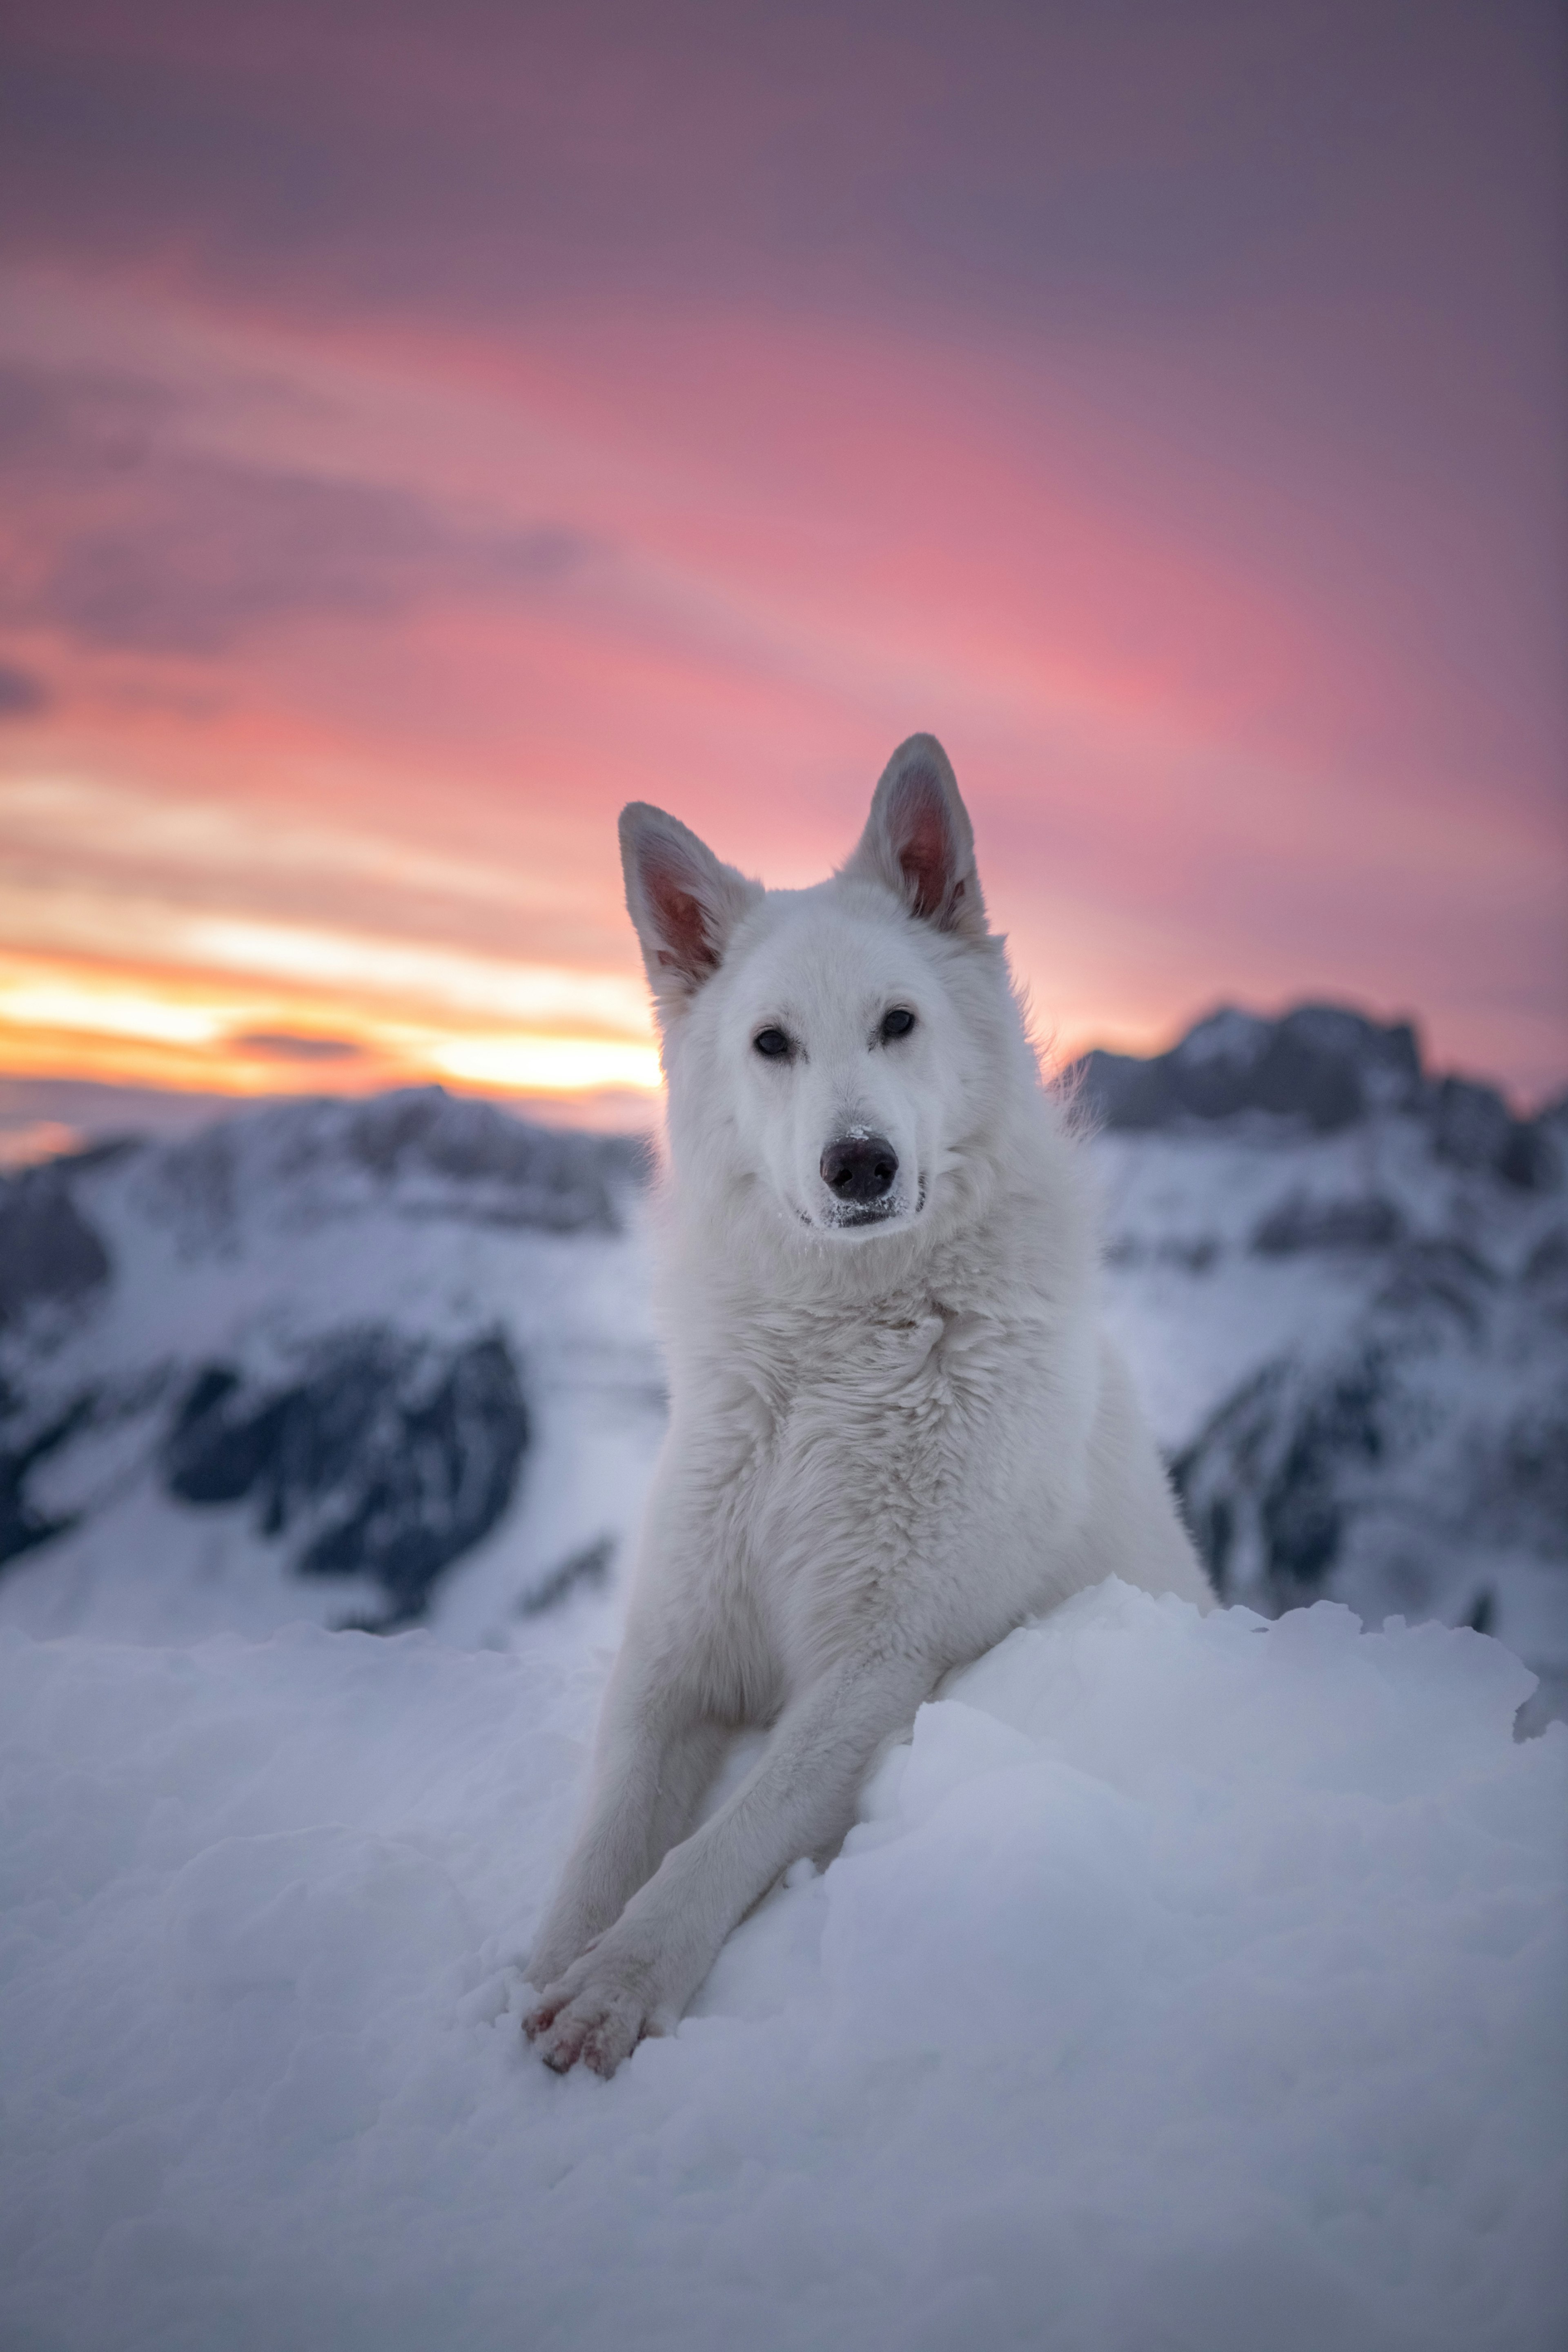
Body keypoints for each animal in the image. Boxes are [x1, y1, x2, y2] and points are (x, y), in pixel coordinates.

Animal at [522, 734, 1213, 2079]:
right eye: (770, 1042)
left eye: (897, 1023)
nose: (860, 1165)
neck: (834, 1355)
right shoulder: (677, 1645)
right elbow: (602, 1838)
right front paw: (541, 1969)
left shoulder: (880, 1659)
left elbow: (719, 1840)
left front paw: (619, 1982)